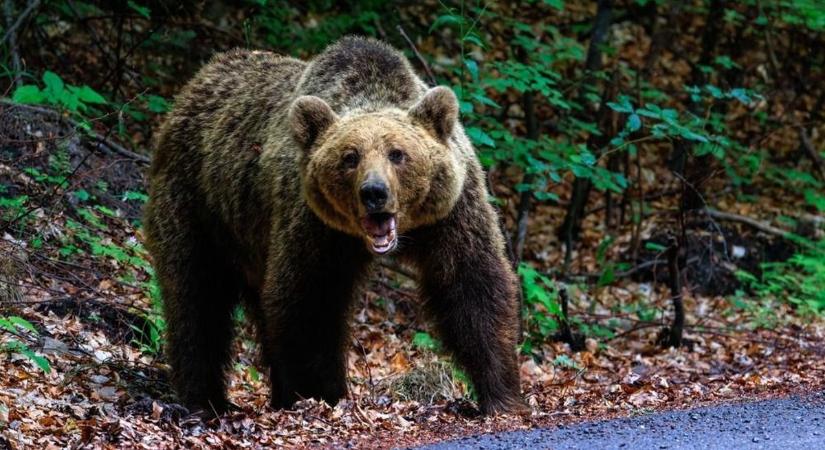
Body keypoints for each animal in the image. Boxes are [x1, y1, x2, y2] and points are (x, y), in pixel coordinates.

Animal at [143, 35, 520, 414]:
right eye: (350, 157)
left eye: (398, 154)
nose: (374, 192)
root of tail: (194, 84)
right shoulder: (314, 224)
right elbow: (310, 301)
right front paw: (322, 392)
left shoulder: (450, 212)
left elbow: (472, 284)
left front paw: (501, 393)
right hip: (198, 206)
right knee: (196, 297)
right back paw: (206, 398)